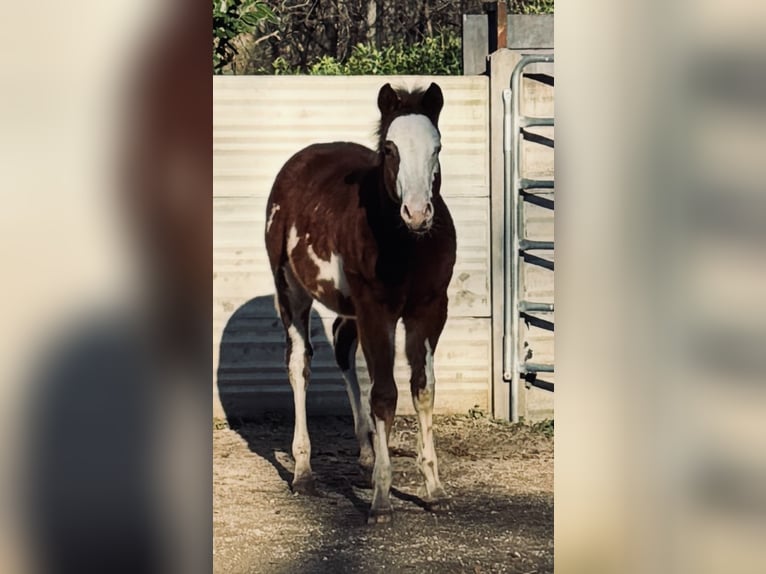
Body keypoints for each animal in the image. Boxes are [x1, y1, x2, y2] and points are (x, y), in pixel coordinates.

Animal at [266, 82, 456, 528]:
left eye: (437, 146)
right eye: (389, 148)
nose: (418, 213)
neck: (407, 245)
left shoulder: (429, 310)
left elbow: (422, 389)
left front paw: (434, 490)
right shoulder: (376, 309)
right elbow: (385, 395)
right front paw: (382, 500)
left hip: (350, 308)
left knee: (343, 346)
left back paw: (367, 456)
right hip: (292, 292)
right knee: (299, 363)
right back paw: (304, 472)